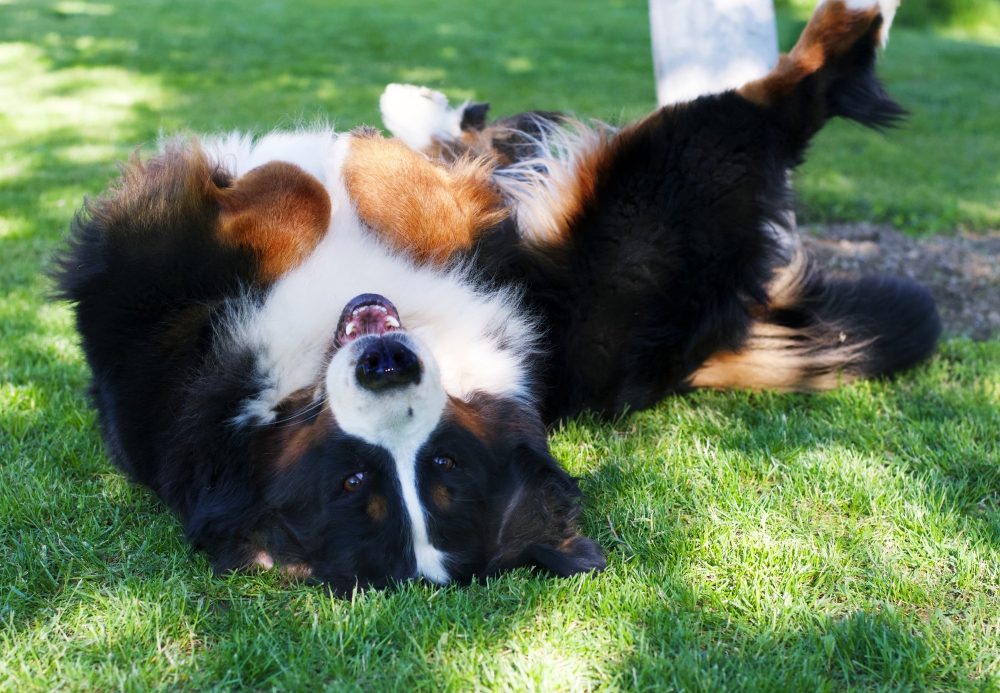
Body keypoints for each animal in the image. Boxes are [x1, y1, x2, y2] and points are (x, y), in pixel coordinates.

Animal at [58, 1, 940, 596]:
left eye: (445, 460)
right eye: (355, 481)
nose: (385, 366)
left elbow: (346, 194)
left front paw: (373, 169)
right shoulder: (138, 301)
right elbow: (303, 194)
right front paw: (350, 170)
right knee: (777, 103)